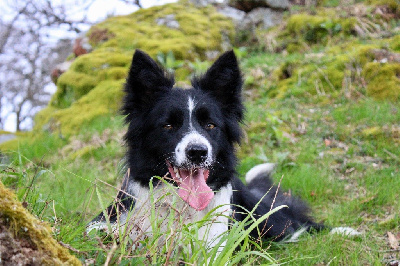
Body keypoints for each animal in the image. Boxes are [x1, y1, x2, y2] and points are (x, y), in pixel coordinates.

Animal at [87, 50, 354, 249]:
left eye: (210, 125)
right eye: (168, 125)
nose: (197, 152)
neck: (182, 207)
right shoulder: (109, 221)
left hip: (267, 220)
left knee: (296, 224)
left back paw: (344, 231)